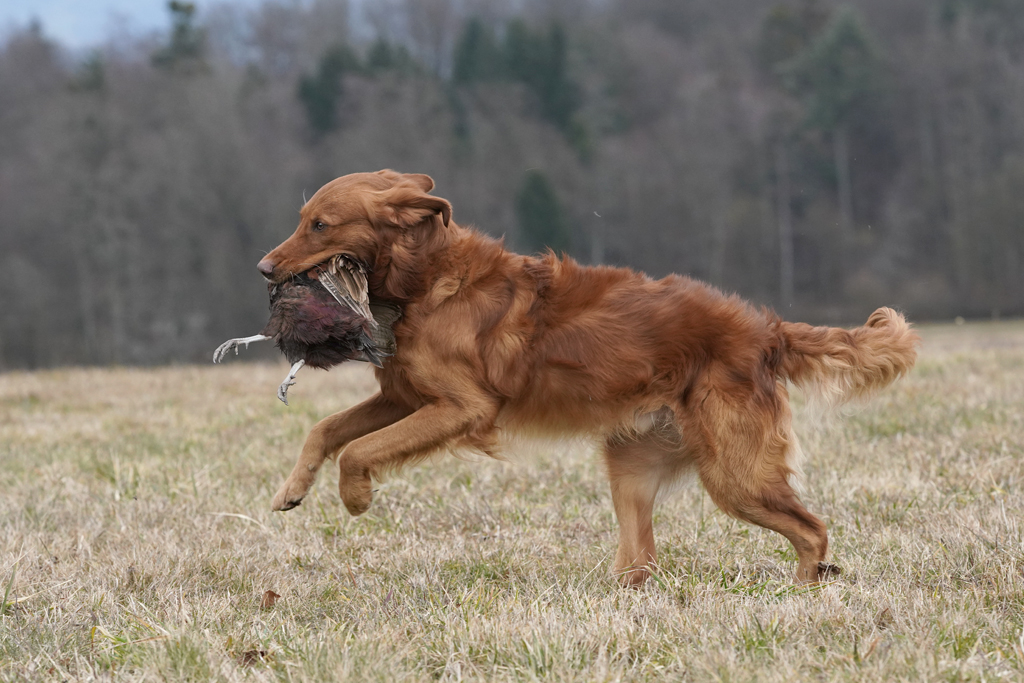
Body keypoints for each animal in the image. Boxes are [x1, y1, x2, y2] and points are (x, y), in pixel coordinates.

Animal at [258, 167, 921, 585]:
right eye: (303, 219)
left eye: (320, 225)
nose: (264, 266)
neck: (427, 276)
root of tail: (766, 329)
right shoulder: (403, 397)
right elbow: (326, 429)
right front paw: (291, 489)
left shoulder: (462, 408)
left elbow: (358, 450)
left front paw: (356, 497)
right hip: (632, 467)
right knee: (642, 560)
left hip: (736, 476)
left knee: (812, 530)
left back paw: (808, 588)